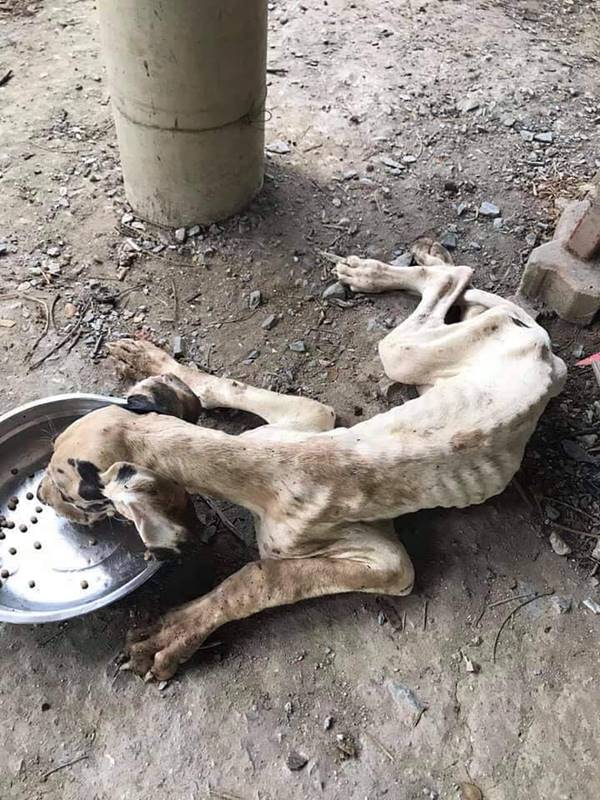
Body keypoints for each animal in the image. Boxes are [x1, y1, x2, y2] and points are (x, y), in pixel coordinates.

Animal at [37, 240, 566, 680]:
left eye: (70, 492)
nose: (40, 496)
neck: (263, 470)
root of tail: (545, 355)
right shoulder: (309, 415)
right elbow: (225, 385)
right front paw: (158, 363)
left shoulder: (388, 564)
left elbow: (259, 577)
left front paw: (176, 634)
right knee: (455, 286)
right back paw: (389, 268)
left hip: (405, 354)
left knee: (453, 279)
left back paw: (398, 270)